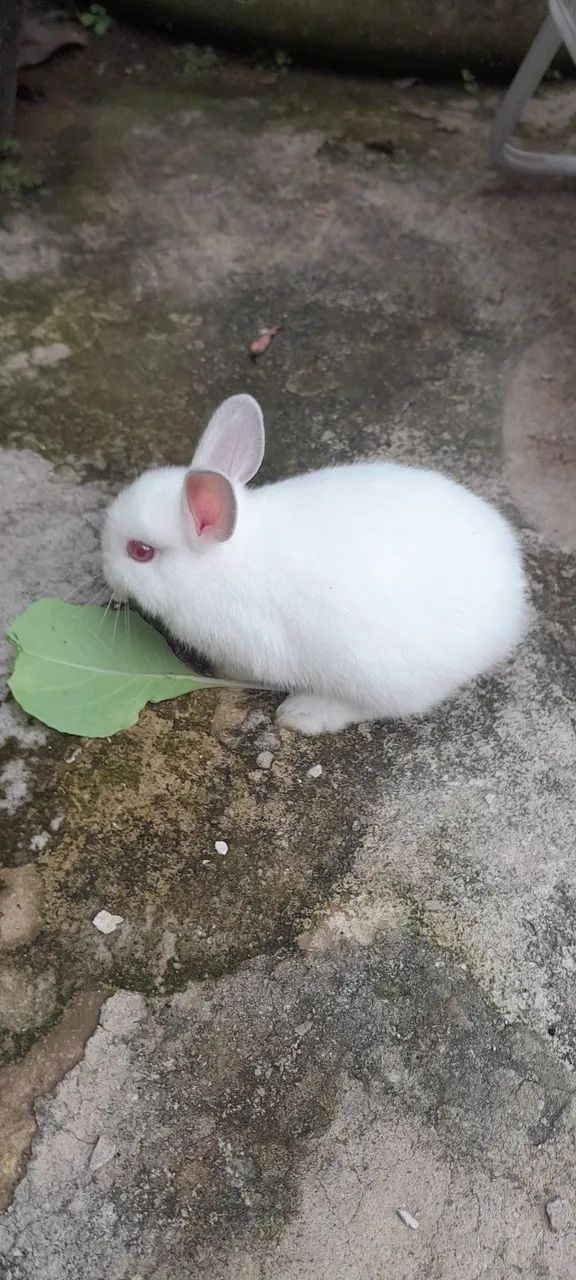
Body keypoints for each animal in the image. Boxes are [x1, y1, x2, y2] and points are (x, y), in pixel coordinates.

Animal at [101, 394, 527, 736]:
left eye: (140, 551)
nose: (104, 567)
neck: (219, 562)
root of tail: (512, 604)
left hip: (376, 673)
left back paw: (303, 713)